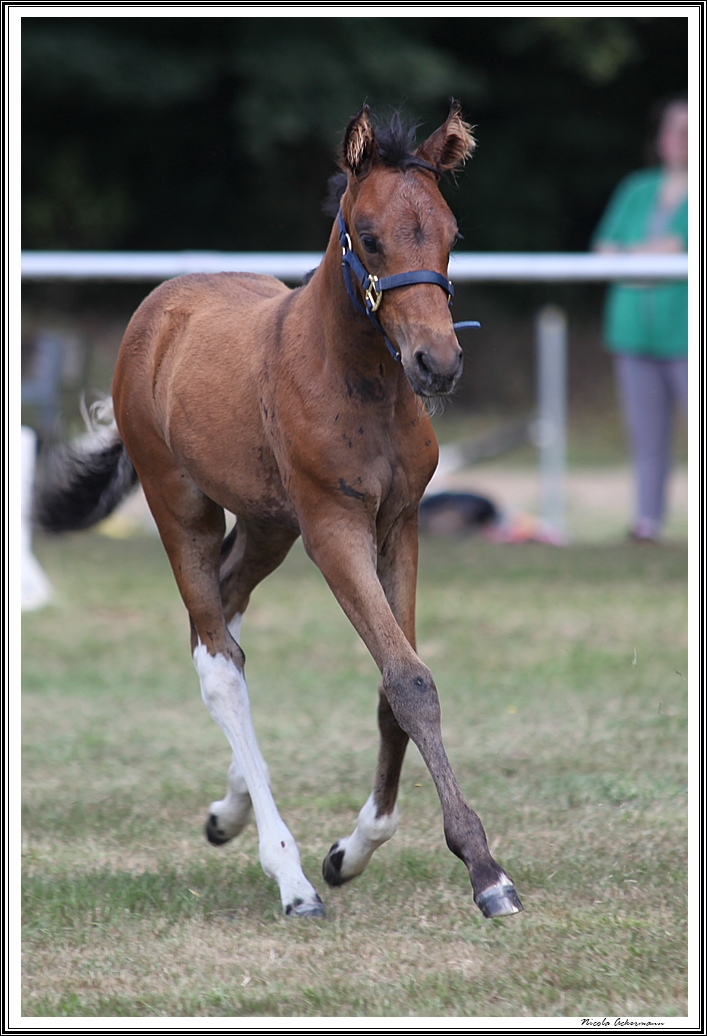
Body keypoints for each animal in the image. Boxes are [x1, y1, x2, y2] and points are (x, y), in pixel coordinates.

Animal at [38, 101, 522, 919]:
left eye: (451, 234)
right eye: (369, 236)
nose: (438, 363)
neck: (360, 380)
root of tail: (160, 307)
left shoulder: (399, 526)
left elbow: (397, 682)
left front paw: (353, 851)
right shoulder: (334, 529)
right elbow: (409, 680)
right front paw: (484, 871)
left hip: (268, 525)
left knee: (223, 624)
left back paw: (231, 810)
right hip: (182, 507)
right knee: (219, 663)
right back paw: (289, 876)